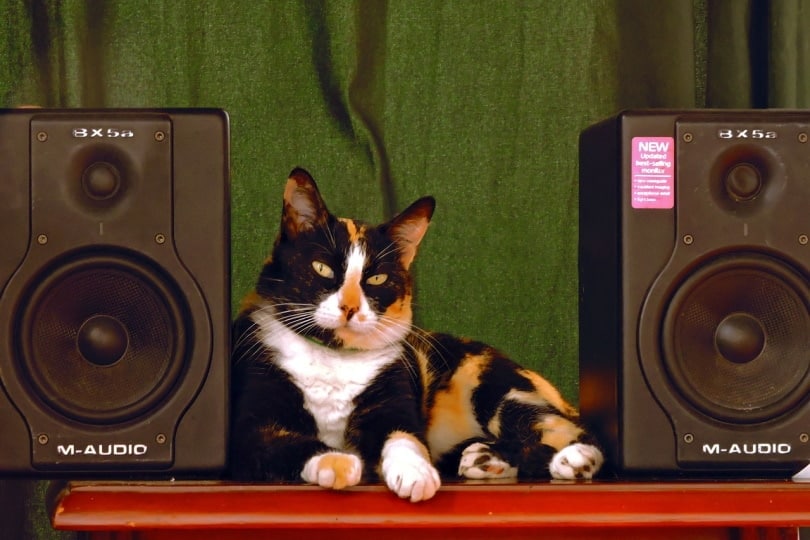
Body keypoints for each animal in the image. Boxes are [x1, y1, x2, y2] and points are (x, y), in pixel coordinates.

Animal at [227, 169, 600, 502]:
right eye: (322, 268)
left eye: (377, 278)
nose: (350, 307)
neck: (333, 357)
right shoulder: (250, 426)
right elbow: (287, 444)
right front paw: (339, 462)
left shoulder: (395, 402)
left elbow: (405, 440)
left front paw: (416, 474)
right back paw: (485, 459)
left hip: (493, 385)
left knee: (568, 428)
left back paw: (576, 459)